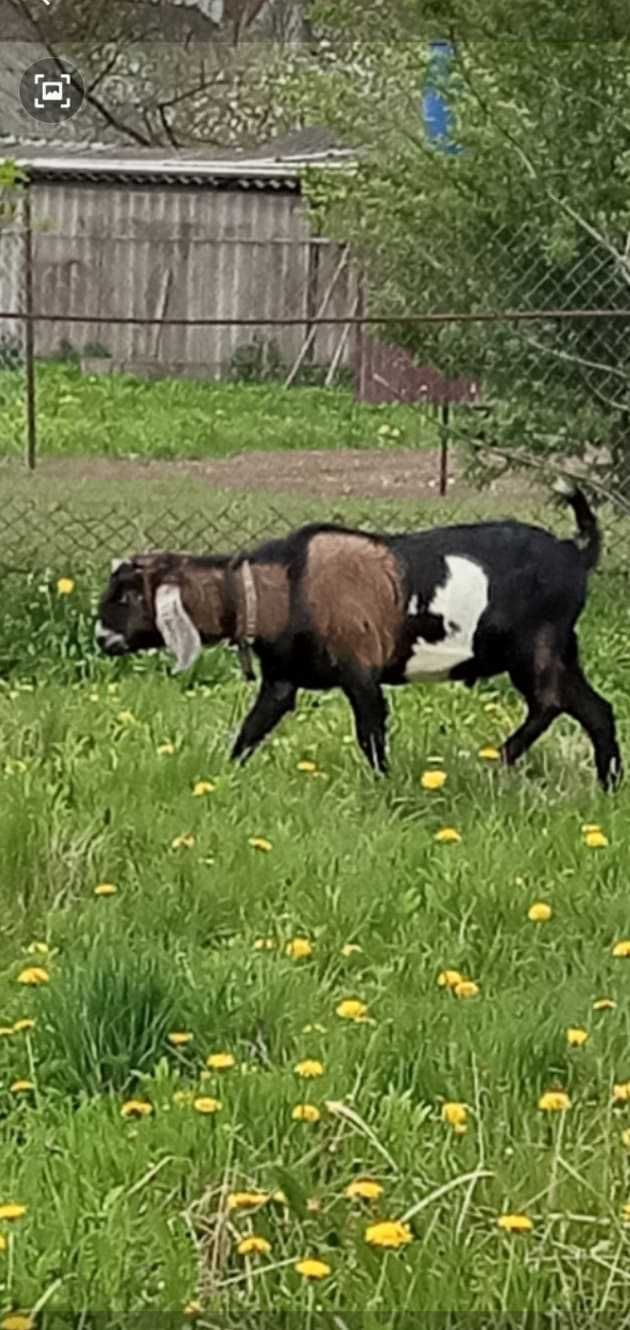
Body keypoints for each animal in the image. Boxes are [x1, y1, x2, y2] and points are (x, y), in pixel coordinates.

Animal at [95, 481, 622, 782]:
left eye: (126, 596)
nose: (101, 637)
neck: (284, 582)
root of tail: (575, 553)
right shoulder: (282, 681)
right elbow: (251, 729)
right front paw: (221, 777)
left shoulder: (360, 670)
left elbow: (370, 733)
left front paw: (383, 787)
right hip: (560, 648)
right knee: (596, 710)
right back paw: (606, 784)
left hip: (535, 646)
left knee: (550, 701)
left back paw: (504, 756)